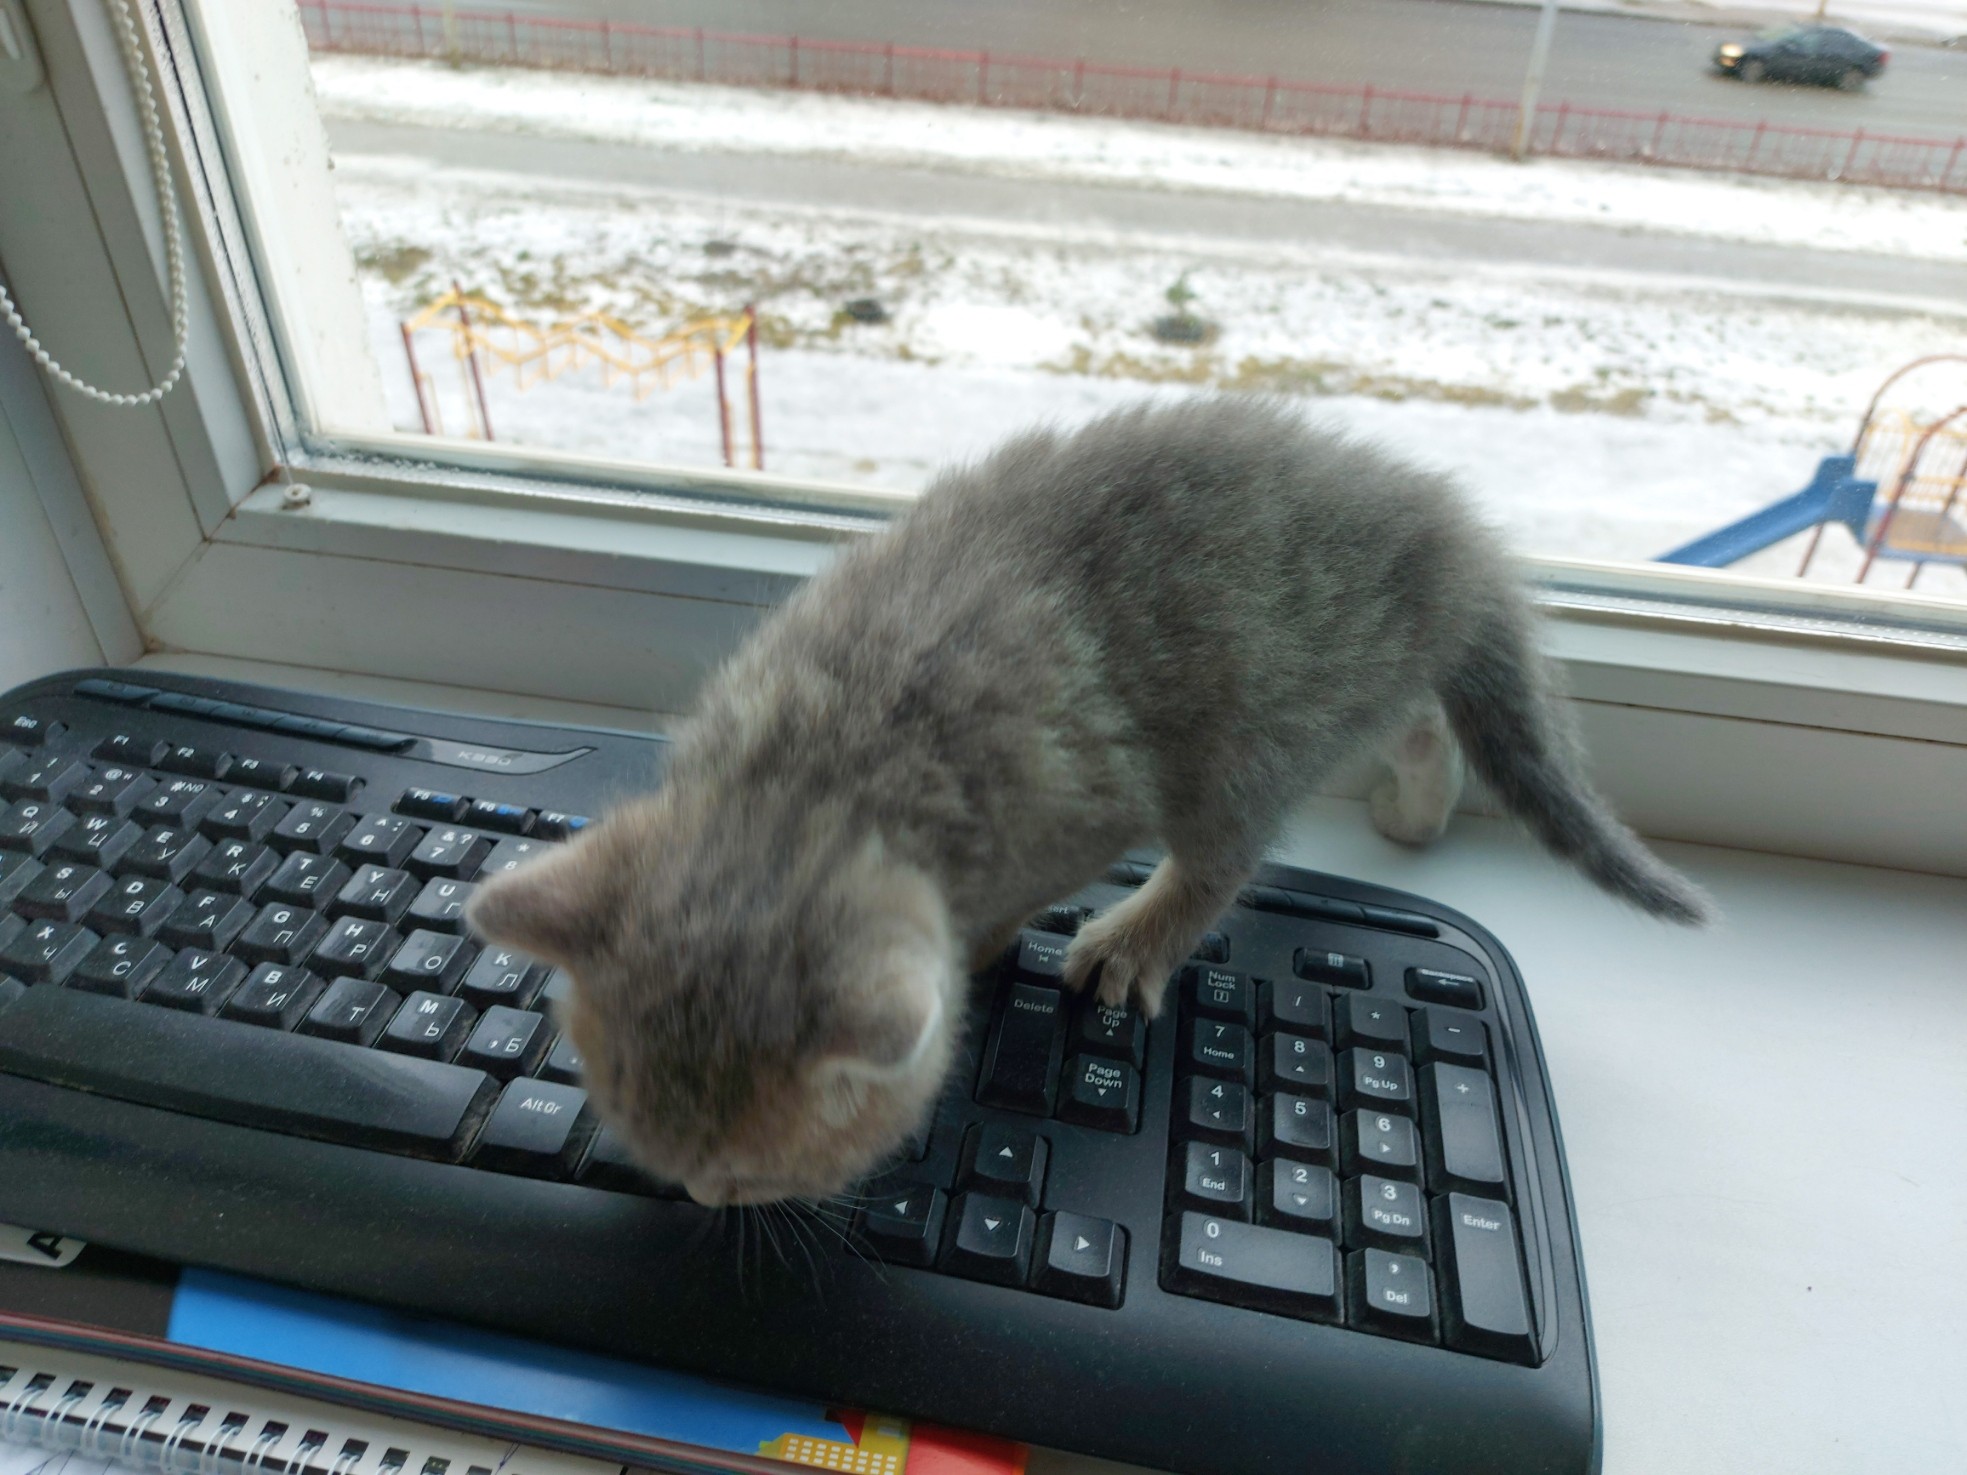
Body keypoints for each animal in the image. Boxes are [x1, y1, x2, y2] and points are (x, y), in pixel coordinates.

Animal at [467, 397, 1710, 1208]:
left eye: (743, 1175)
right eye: (656, 1152)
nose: (696, 1200)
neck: (812, 775)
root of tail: (1452, 540)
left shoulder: (1066, 808)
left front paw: (995, 945)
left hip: (1250, 719)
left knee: (1230, 841)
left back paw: (1143, 926)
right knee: (1411, 708)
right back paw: (1416, 793)